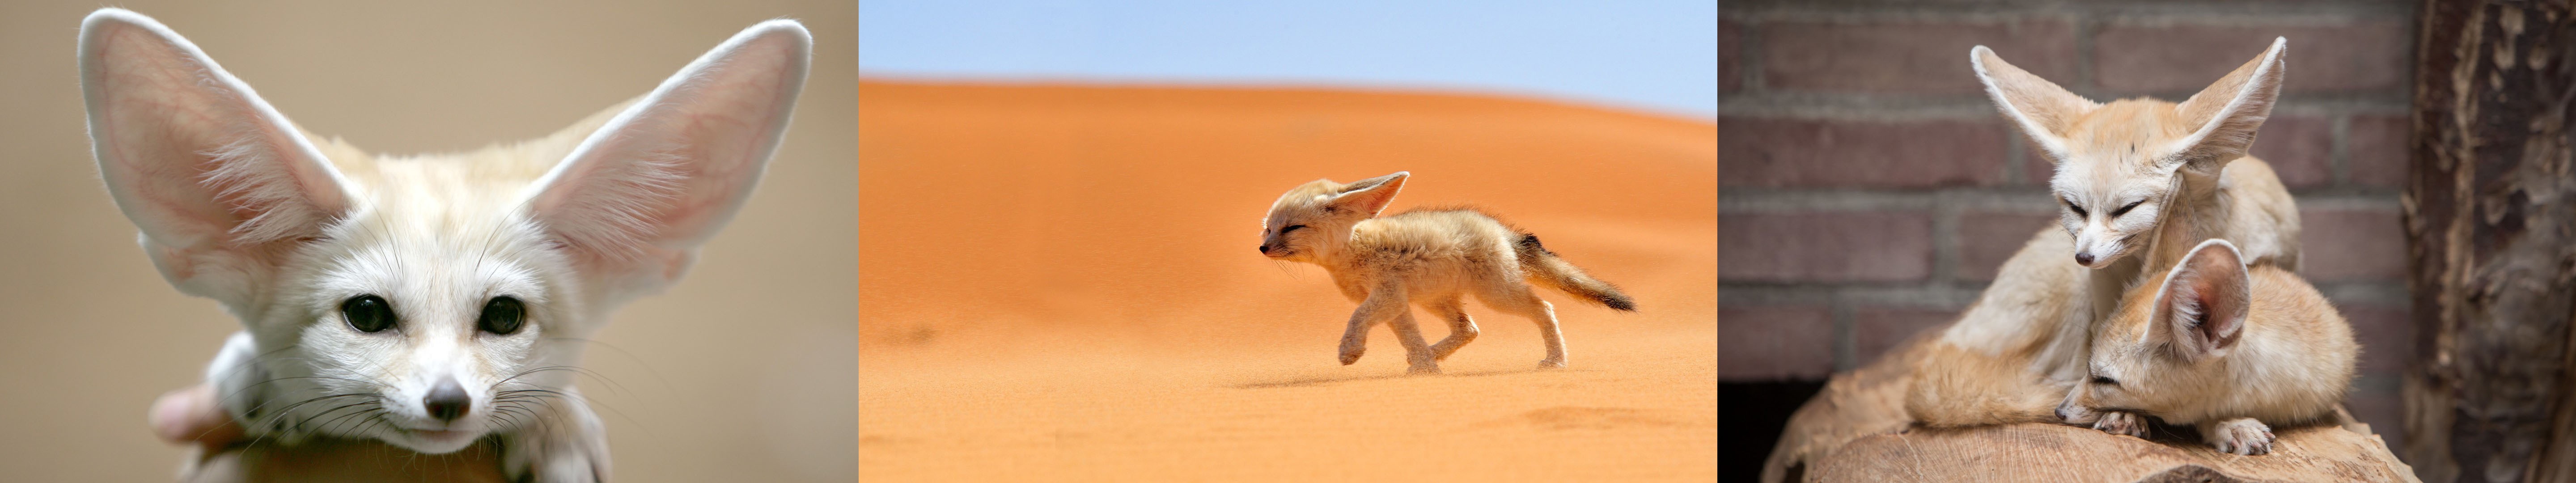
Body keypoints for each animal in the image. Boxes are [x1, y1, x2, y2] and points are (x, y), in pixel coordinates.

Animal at [1257, 172, 1638, 375]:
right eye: (1269, 229)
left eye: (1292, 228)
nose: (1263, 249)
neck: (1353, 250)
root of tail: (1500, 230)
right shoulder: (1397, 303)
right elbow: (1409, 337)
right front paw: (1426, 368)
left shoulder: (1386, 296)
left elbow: (1358, 318)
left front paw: (1350, 350)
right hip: (1437, 301)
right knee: (1469, 329)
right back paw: (1432, 356)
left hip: (1497, 296)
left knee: (1544, 309)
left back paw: (1556, 360)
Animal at [1906, 39, 2308, 434]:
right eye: (2076, 208)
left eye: (2127, 208)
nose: (2084, 257)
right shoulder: (2104, 307)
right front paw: (2122, 411)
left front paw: (2229, 420)